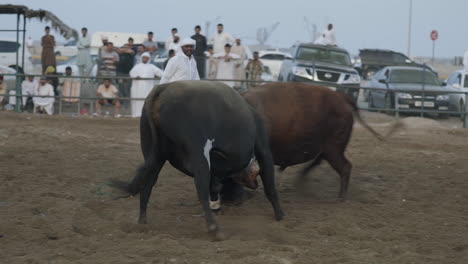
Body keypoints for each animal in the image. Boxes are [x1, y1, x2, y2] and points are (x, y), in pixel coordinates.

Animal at [241, 81, 384, 199]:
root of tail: (341, 98)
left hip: (333, 149)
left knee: (344, 167)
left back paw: (341, 198)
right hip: (327, 150)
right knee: (319, 161)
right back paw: (301, 181)